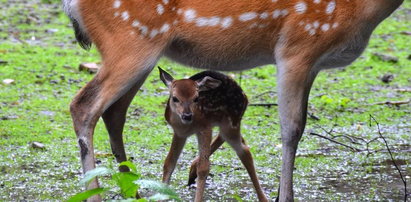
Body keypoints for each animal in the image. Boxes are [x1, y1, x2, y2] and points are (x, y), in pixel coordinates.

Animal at [62, 0, 404, 200]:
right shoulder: (297, 48)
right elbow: (291, 130)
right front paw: (284, 197)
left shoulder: (312, 65)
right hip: (130, 40)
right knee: (83, 105)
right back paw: (95, 193)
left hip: (143, 52)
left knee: (114, 112)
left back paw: (133, 189)